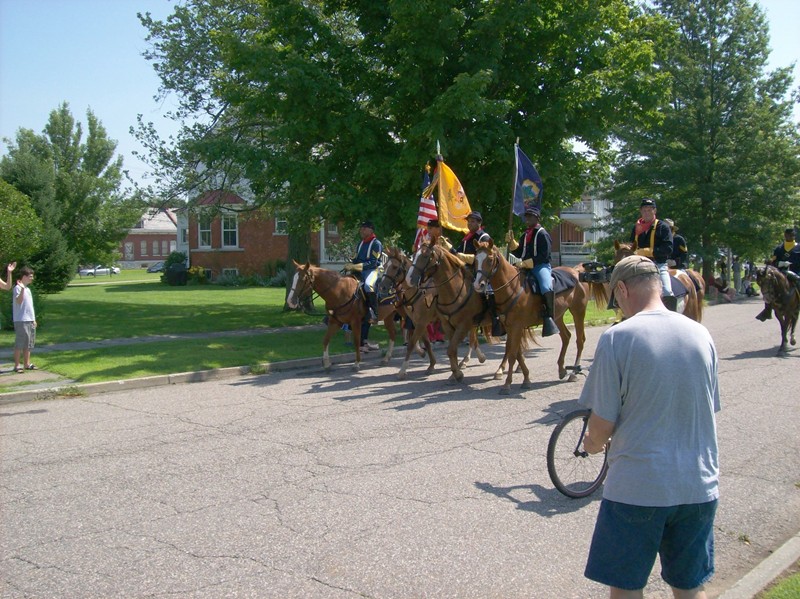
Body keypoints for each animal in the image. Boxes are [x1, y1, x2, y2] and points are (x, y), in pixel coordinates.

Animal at [406, 244, 494, 384]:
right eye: (414, 255)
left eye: (425, 255)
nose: (409, 278)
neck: (455, 291)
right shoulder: (447, 326)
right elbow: (452, 350)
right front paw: (455, 372)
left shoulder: (462, 326)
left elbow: (451, 349)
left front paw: (457, 374)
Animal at [468, 239, 608, 394]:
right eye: (475, 259)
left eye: (490, 259)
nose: (478, 284)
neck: (512, 287)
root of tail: (577, 271)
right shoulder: (510, 327)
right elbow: (516, 352)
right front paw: (526, 379)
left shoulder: (517, 327)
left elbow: (512, 354)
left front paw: (507, 384)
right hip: (557, 317)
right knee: (566, 337)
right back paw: (561, 369)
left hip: (578, 311)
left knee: (580, 340)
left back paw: (573, 373)